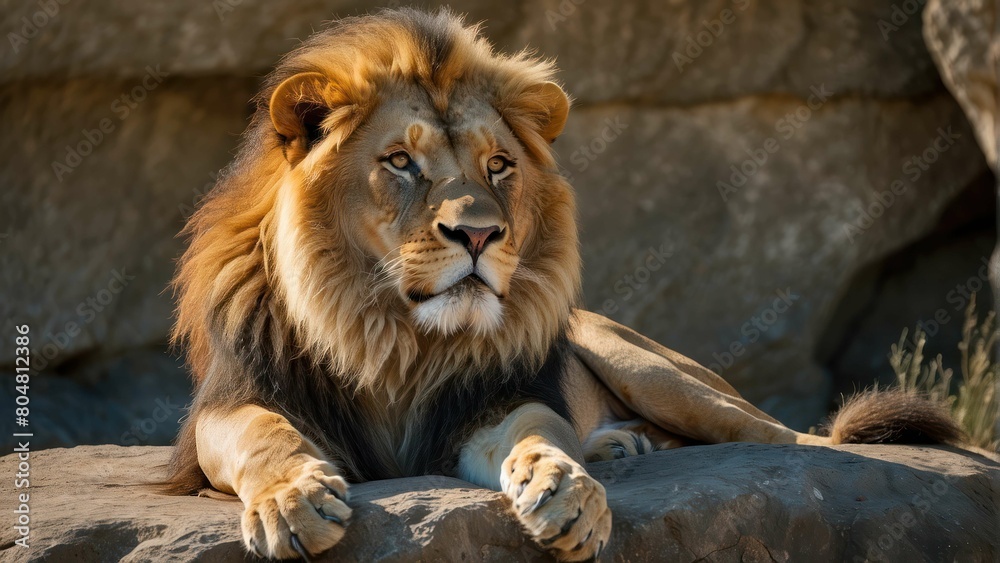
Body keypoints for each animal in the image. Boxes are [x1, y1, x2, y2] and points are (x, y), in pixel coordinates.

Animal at [164, 8, 962, 561]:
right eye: (399, 162)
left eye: (498, 166)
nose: (480, 235)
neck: (391, 336)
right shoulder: (224, 406)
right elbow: (262, 435)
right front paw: (290, 502)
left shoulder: (490, 398)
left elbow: (540, 430)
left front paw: (566, 492)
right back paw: (619, 447)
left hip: (647, 365)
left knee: (788, 436)